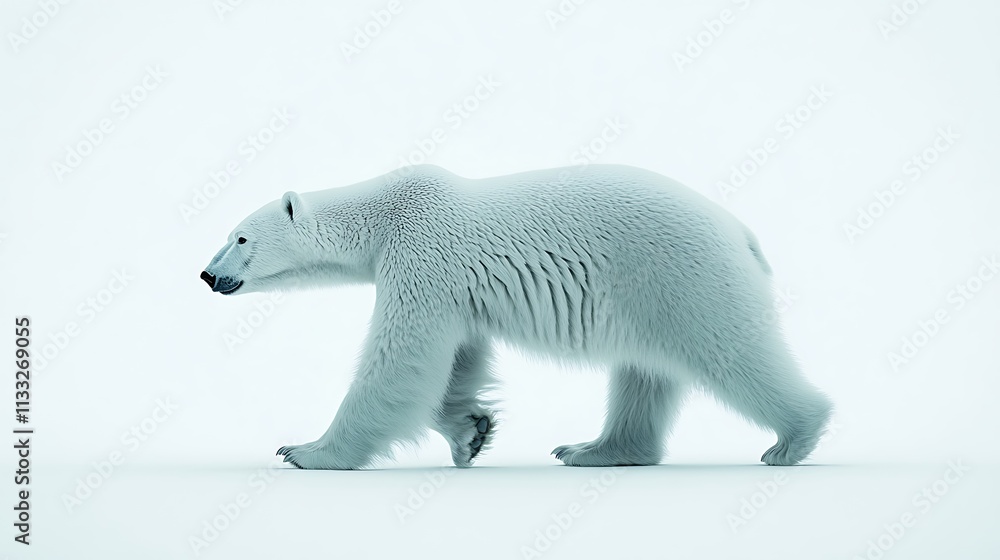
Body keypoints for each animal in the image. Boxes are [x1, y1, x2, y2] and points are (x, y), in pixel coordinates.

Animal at [200, 164, 832, 470]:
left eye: (240, 237)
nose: (207, 275)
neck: (384, 212)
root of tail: (741, 230)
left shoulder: (422, 254)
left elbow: (402, 359)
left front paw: (307, 452)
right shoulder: (452, 288)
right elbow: (457, 357)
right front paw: (471, 433)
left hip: (679, 273)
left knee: (731, 350)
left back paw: (793, 439)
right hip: (651, 295)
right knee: (644, 372)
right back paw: (594, 449)